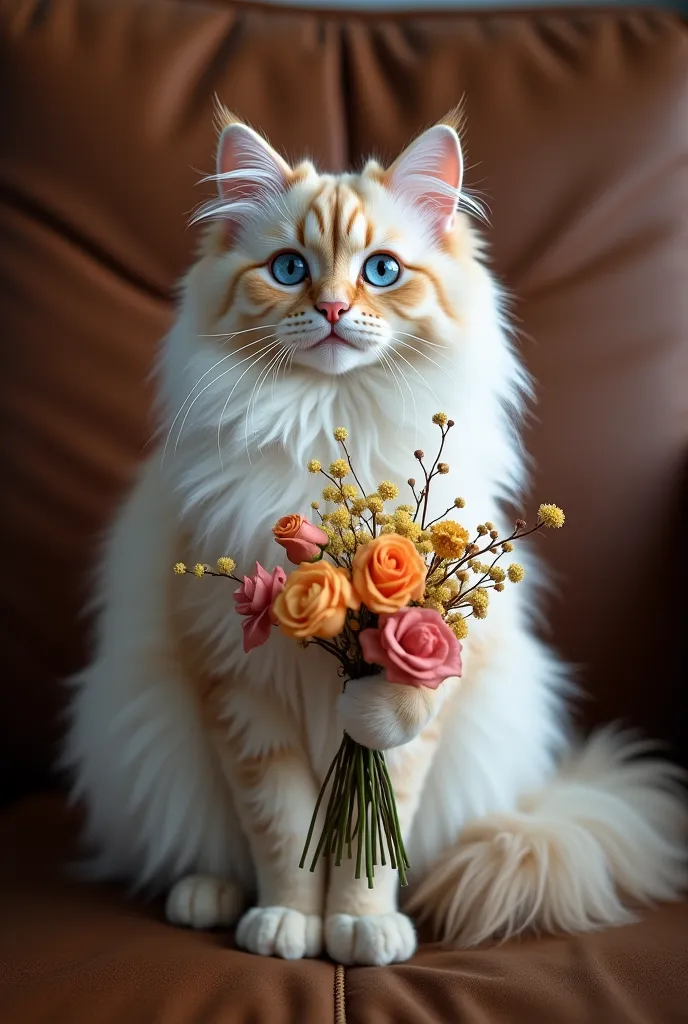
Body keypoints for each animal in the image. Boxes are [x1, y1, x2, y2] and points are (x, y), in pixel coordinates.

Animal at [61, 108, 683, 962]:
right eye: (289, 268)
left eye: (382, 272)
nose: (329, 309)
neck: (332, 420)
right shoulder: (241, 692)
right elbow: (282, 828)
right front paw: (289, 924)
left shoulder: (407, 693)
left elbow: (368, 841)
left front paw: (359, 926)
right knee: (203, 849)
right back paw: (208, 896)